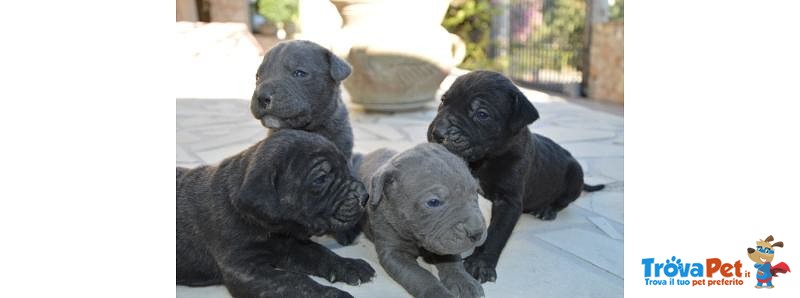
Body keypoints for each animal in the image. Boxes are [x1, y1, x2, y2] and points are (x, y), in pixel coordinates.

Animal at [177, 130, 374, 298]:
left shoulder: (292, 245)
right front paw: (331, 294)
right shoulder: (246, 268)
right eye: (320, 179)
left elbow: (321, 252)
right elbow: (294, 281)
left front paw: (350, 265)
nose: (365, 196)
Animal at [358, 143, 484, 296]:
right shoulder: (394, 253)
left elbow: (452, 259)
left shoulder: (446, 241)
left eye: (476, 192)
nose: (477, 233)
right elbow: (420, 276)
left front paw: (463, 280)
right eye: (434, 202)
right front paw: (438, 293)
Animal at [428, 71, 604, 282]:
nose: (437, 133)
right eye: (443, 101)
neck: (487, 158)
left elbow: (496, 234)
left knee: (564, 201)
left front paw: (480, 263)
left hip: (575, 176)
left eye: (482, 114)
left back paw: (547, 209)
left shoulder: (508, 202)